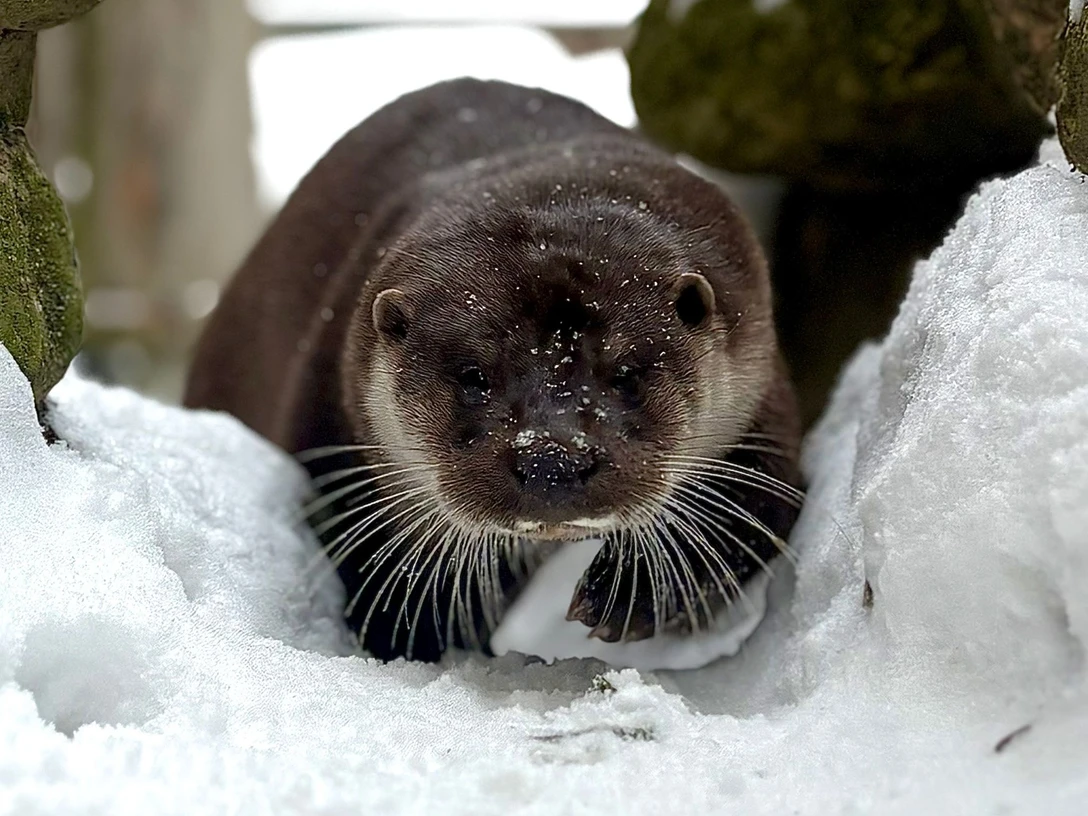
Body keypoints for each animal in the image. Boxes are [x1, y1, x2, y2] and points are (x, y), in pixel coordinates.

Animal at [184, 78, 803, 662]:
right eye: (473, 377)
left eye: (627, 374)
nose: (552, 458)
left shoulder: (758, 384)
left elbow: (757, 505)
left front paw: (627, 594)